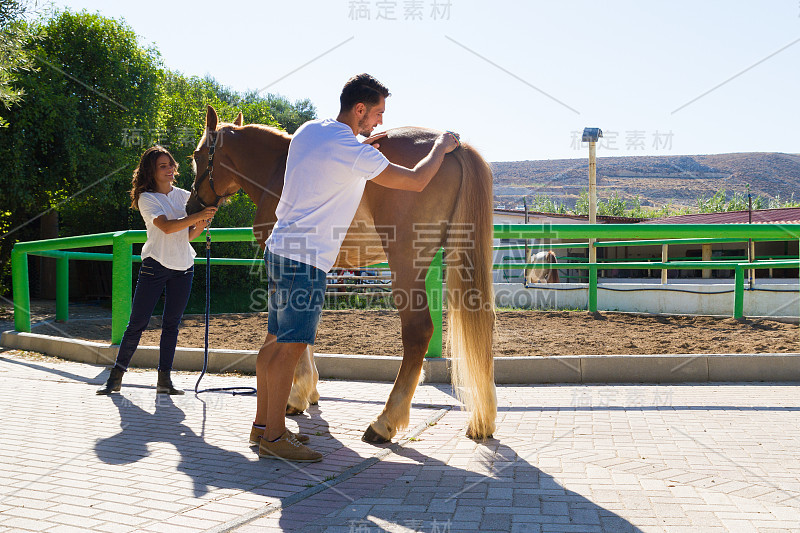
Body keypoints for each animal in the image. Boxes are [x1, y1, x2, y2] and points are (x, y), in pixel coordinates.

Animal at [188, 105, 496, 440]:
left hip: (405, 263)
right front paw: (309, 393)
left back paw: (384, 421)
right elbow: (309, 327)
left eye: (197, 154)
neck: (277, 171)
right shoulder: (318, 267)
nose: (193, 207)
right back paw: (484, 419)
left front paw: (297, 395)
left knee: (418, 332)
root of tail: (454, 148)